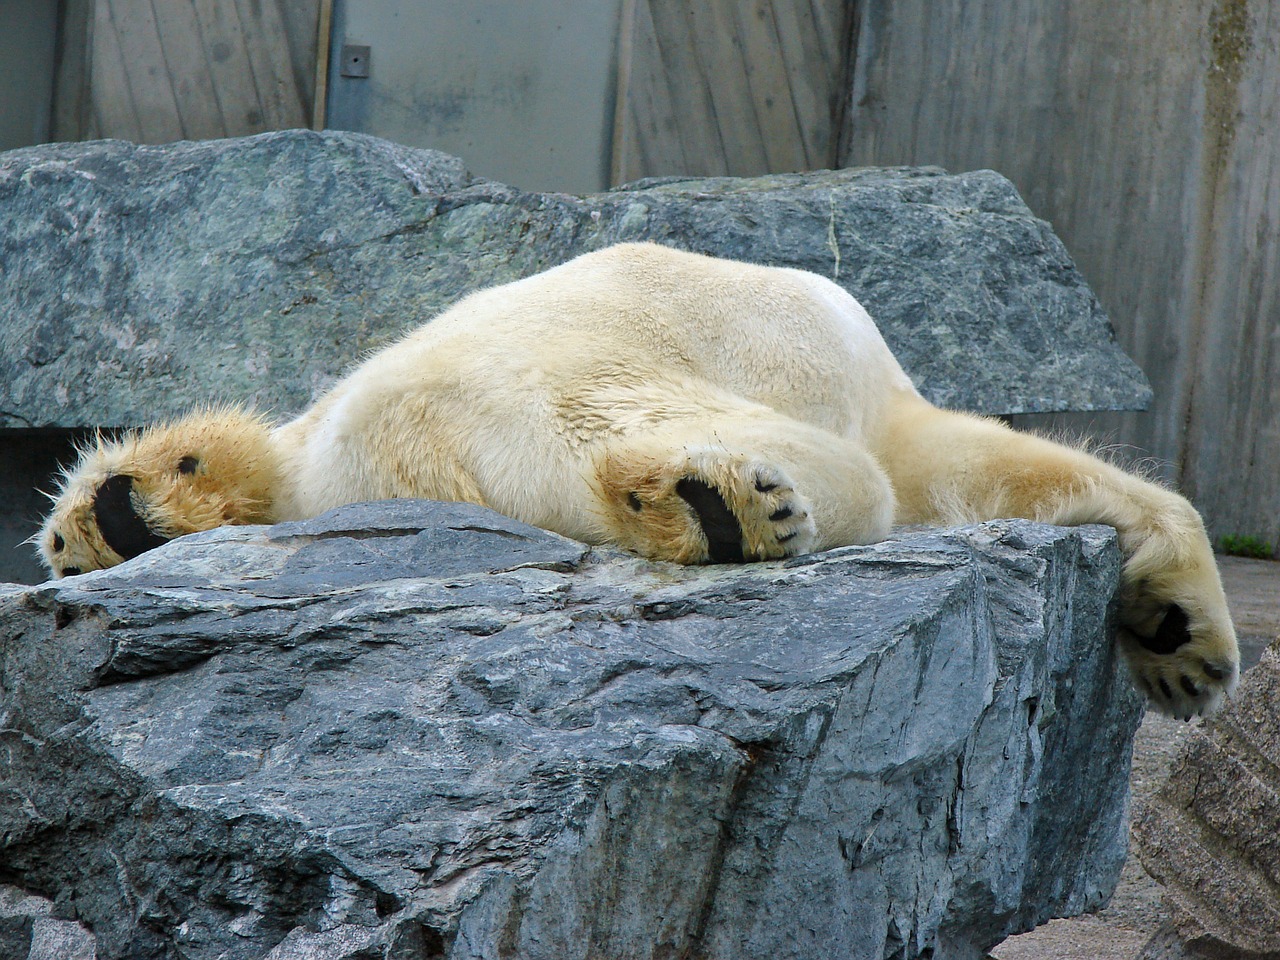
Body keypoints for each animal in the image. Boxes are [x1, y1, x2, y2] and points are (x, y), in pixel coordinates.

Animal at [42, 244, 1239, 716]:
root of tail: (406, 445)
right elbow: (963, 469)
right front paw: (1191, 645)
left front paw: (1172, 639)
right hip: (586, 375)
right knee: (823, 474)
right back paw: (722, 505)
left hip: (354, 417)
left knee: (273, 463)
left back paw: (132, 504)